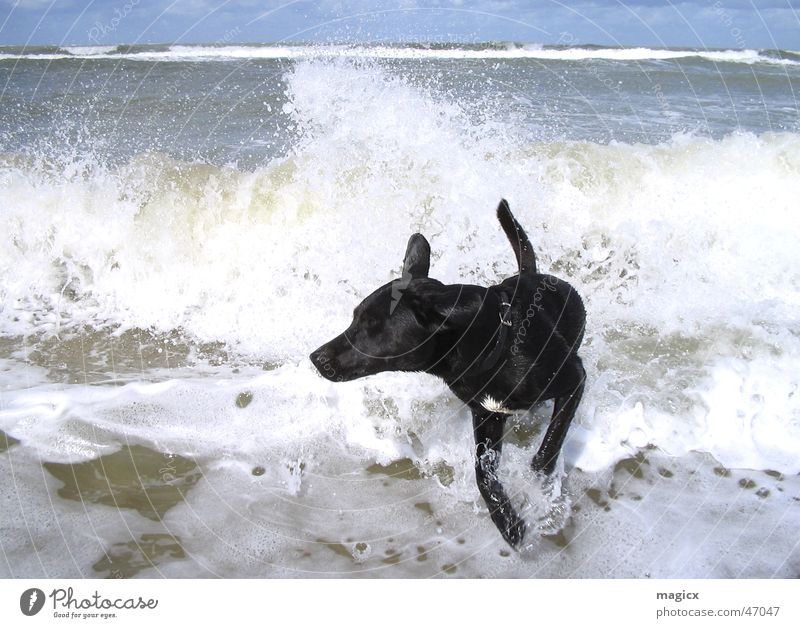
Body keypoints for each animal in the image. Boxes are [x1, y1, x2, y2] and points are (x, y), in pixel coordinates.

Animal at [312, 201, 588, 548]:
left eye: (372, 327)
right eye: (354, 317)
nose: (316, 358)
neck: (493, 348)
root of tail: (531, 273)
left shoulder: (574, 379)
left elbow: (549, 445)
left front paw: (538, 484)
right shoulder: (487, 416)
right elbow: (482, 473)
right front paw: (506, 520)